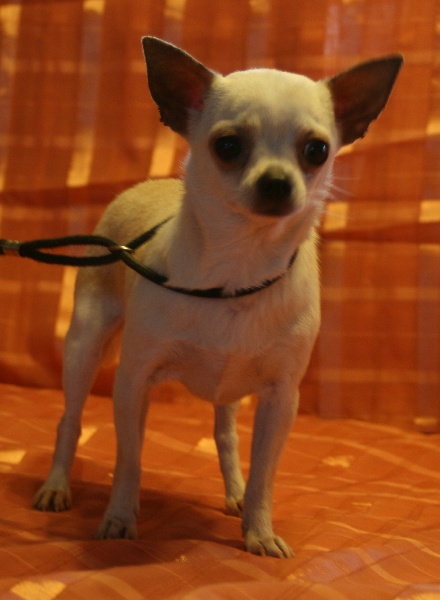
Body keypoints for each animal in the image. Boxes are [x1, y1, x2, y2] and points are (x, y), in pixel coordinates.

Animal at [33, 37, 402, 557]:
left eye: (317, 150)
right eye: (228, 146)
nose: (276, 181)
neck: (237, 266)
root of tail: (148, 185)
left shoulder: (280, 400)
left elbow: (266, 473)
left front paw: (258, 530)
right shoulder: (133, 382)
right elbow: (129, 459)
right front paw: (120, 517)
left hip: (229, 393)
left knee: (225, 435)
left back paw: (235, 494)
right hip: (85, 345)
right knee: (70, 418)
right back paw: (56, 486)